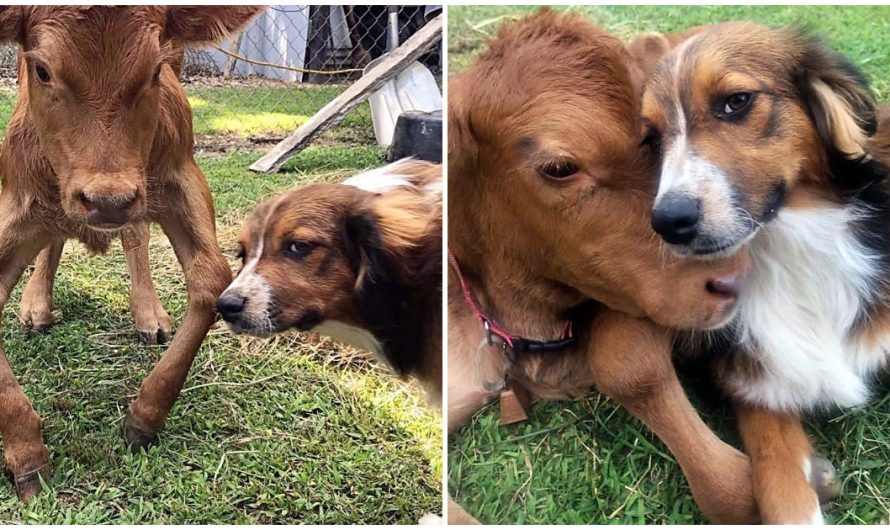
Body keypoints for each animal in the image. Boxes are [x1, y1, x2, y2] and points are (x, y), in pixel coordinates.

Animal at [0, 6, 260, 498]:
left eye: (155, 69)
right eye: (41, 70)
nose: (108, 200)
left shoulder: (179, 176)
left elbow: (211, 277)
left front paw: (145, 415)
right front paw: (27, 452)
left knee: (135, 233)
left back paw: (147, 311)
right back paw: (38, 302)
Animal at [640, 22, 884, 520]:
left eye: (736, 102)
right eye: (651, 138)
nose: (668, 222)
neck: (787, 254)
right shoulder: (755, 388)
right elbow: (780, 491)